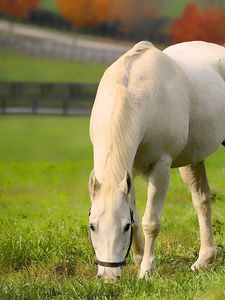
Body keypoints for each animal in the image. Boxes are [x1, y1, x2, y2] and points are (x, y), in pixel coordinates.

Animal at [88, 41, 225, 280]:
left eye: (123, 227)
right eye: (92, 226)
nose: (108, 277)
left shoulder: (160, 167)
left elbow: (150, 222)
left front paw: (146, 270)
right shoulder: (129, 171)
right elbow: (136, 215)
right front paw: (138, 259)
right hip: (193, 160)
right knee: (202, 201)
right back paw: (203, 260)